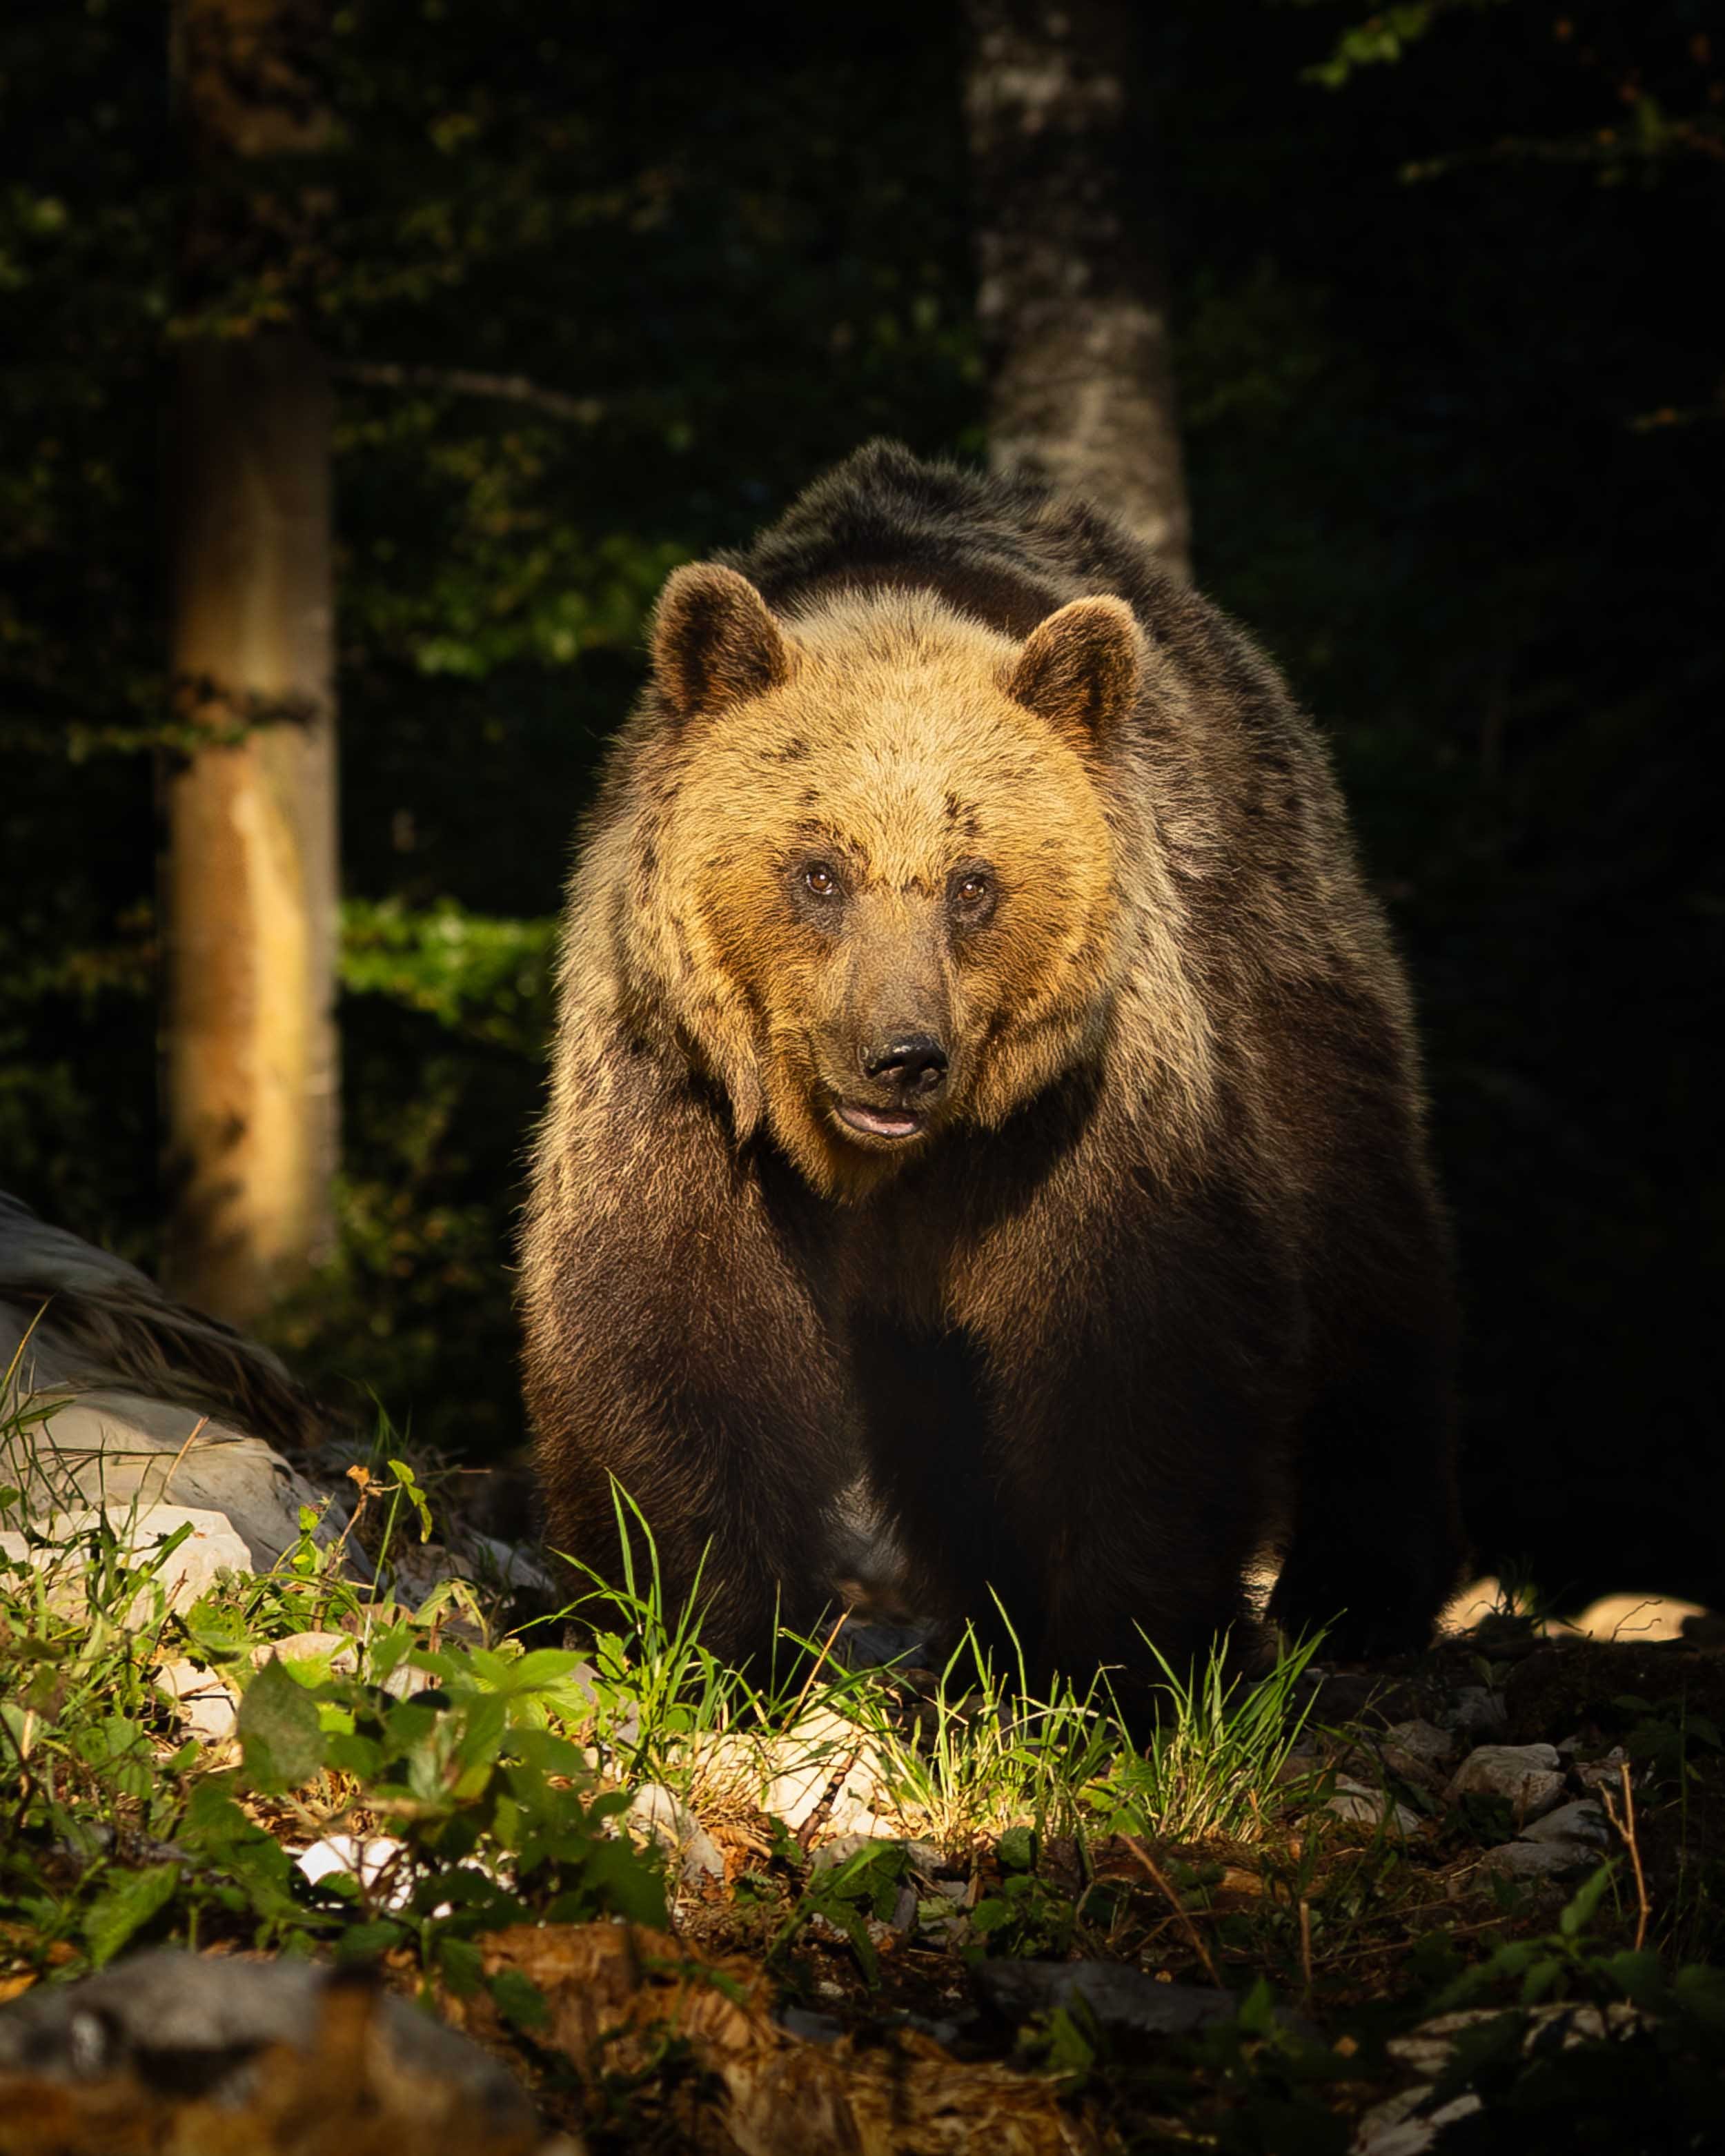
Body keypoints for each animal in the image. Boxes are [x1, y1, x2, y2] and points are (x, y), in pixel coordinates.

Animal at [520, 441, 1465, 1687]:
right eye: (818, 871)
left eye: (973, 882)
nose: (901, 1058)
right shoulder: (680, 1080)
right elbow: (668, 1320)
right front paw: (694, 1628)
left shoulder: (1087, 1105)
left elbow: (1139, 1346)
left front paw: (1134, 1656)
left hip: (1280, 955)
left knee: (1363, 1250)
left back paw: (1357, 1596)